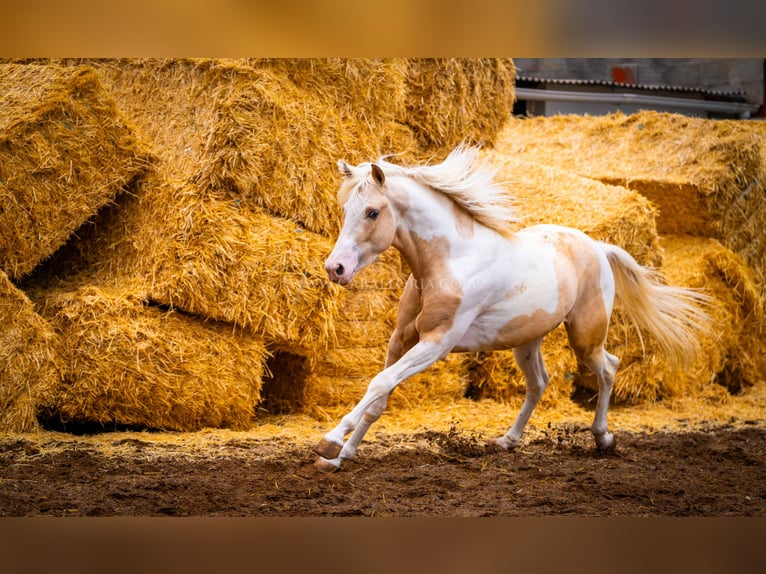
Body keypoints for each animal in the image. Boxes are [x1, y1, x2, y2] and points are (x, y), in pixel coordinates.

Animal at [314, 146, 712, 474]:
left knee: (609, 368)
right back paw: (508, 440)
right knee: (539, 383)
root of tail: (598, 247)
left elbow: (380, 383)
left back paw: (603, 438)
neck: (449, 261)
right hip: (527, 341)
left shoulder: (436, 343)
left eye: (372, 212)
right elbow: (378, 397)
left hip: (585, 337)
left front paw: (329, 443)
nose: (336, 268)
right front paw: (339, 457)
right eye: (346, 210)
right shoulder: (401, 338)